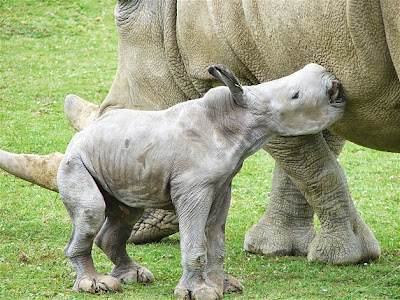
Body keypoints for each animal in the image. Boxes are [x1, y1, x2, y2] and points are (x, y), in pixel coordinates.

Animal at [0, 0, 398, 264]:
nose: (132, 232)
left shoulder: (242, 76)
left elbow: (309, 164)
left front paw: (342, 257)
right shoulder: (295, 65)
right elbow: (311, 156)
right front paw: (275, 248)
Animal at [56, 62, 344, 298]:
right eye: (296, 96)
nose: (334, 83)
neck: (237, 118)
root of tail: (77, 138)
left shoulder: (222, 184)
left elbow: (215, 237)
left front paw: (224, 285)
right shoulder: (192, 188)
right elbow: (195, 241)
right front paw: (199, 292)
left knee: (126, 213)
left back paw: (134, 276)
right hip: (75, 162)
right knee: (92, 211)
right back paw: (96, 285)